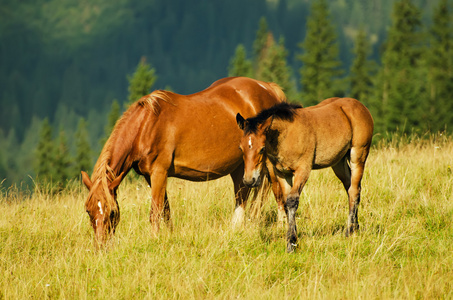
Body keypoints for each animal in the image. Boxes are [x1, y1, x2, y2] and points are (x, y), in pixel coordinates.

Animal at [79, 77, 284, 246]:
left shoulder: (159, 173)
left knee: (273, 189)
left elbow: (155, 212)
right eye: (89, 211)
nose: (101, 246)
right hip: (240, 165)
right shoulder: (150, 177)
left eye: (112, 212)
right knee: (244, 195)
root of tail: (268, 87)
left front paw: (154, 240)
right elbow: (166, 211)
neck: (145, 126)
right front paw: (170, 236)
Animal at [235, 98, 372, 253]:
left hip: (358, 155)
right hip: (338, 162)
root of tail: (360, 106)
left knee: (354, 190)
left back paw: (349, 231)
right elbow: (286, 202)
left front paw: (291, 243)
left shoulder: (303, 170)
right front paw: (293, 236)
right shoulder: (282, 173)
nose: (249, 180)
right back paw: (355, 227)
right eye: (241, 148)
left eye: (262, 149)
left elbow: (292, 201)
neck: (287, 135)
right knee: (351, 188)